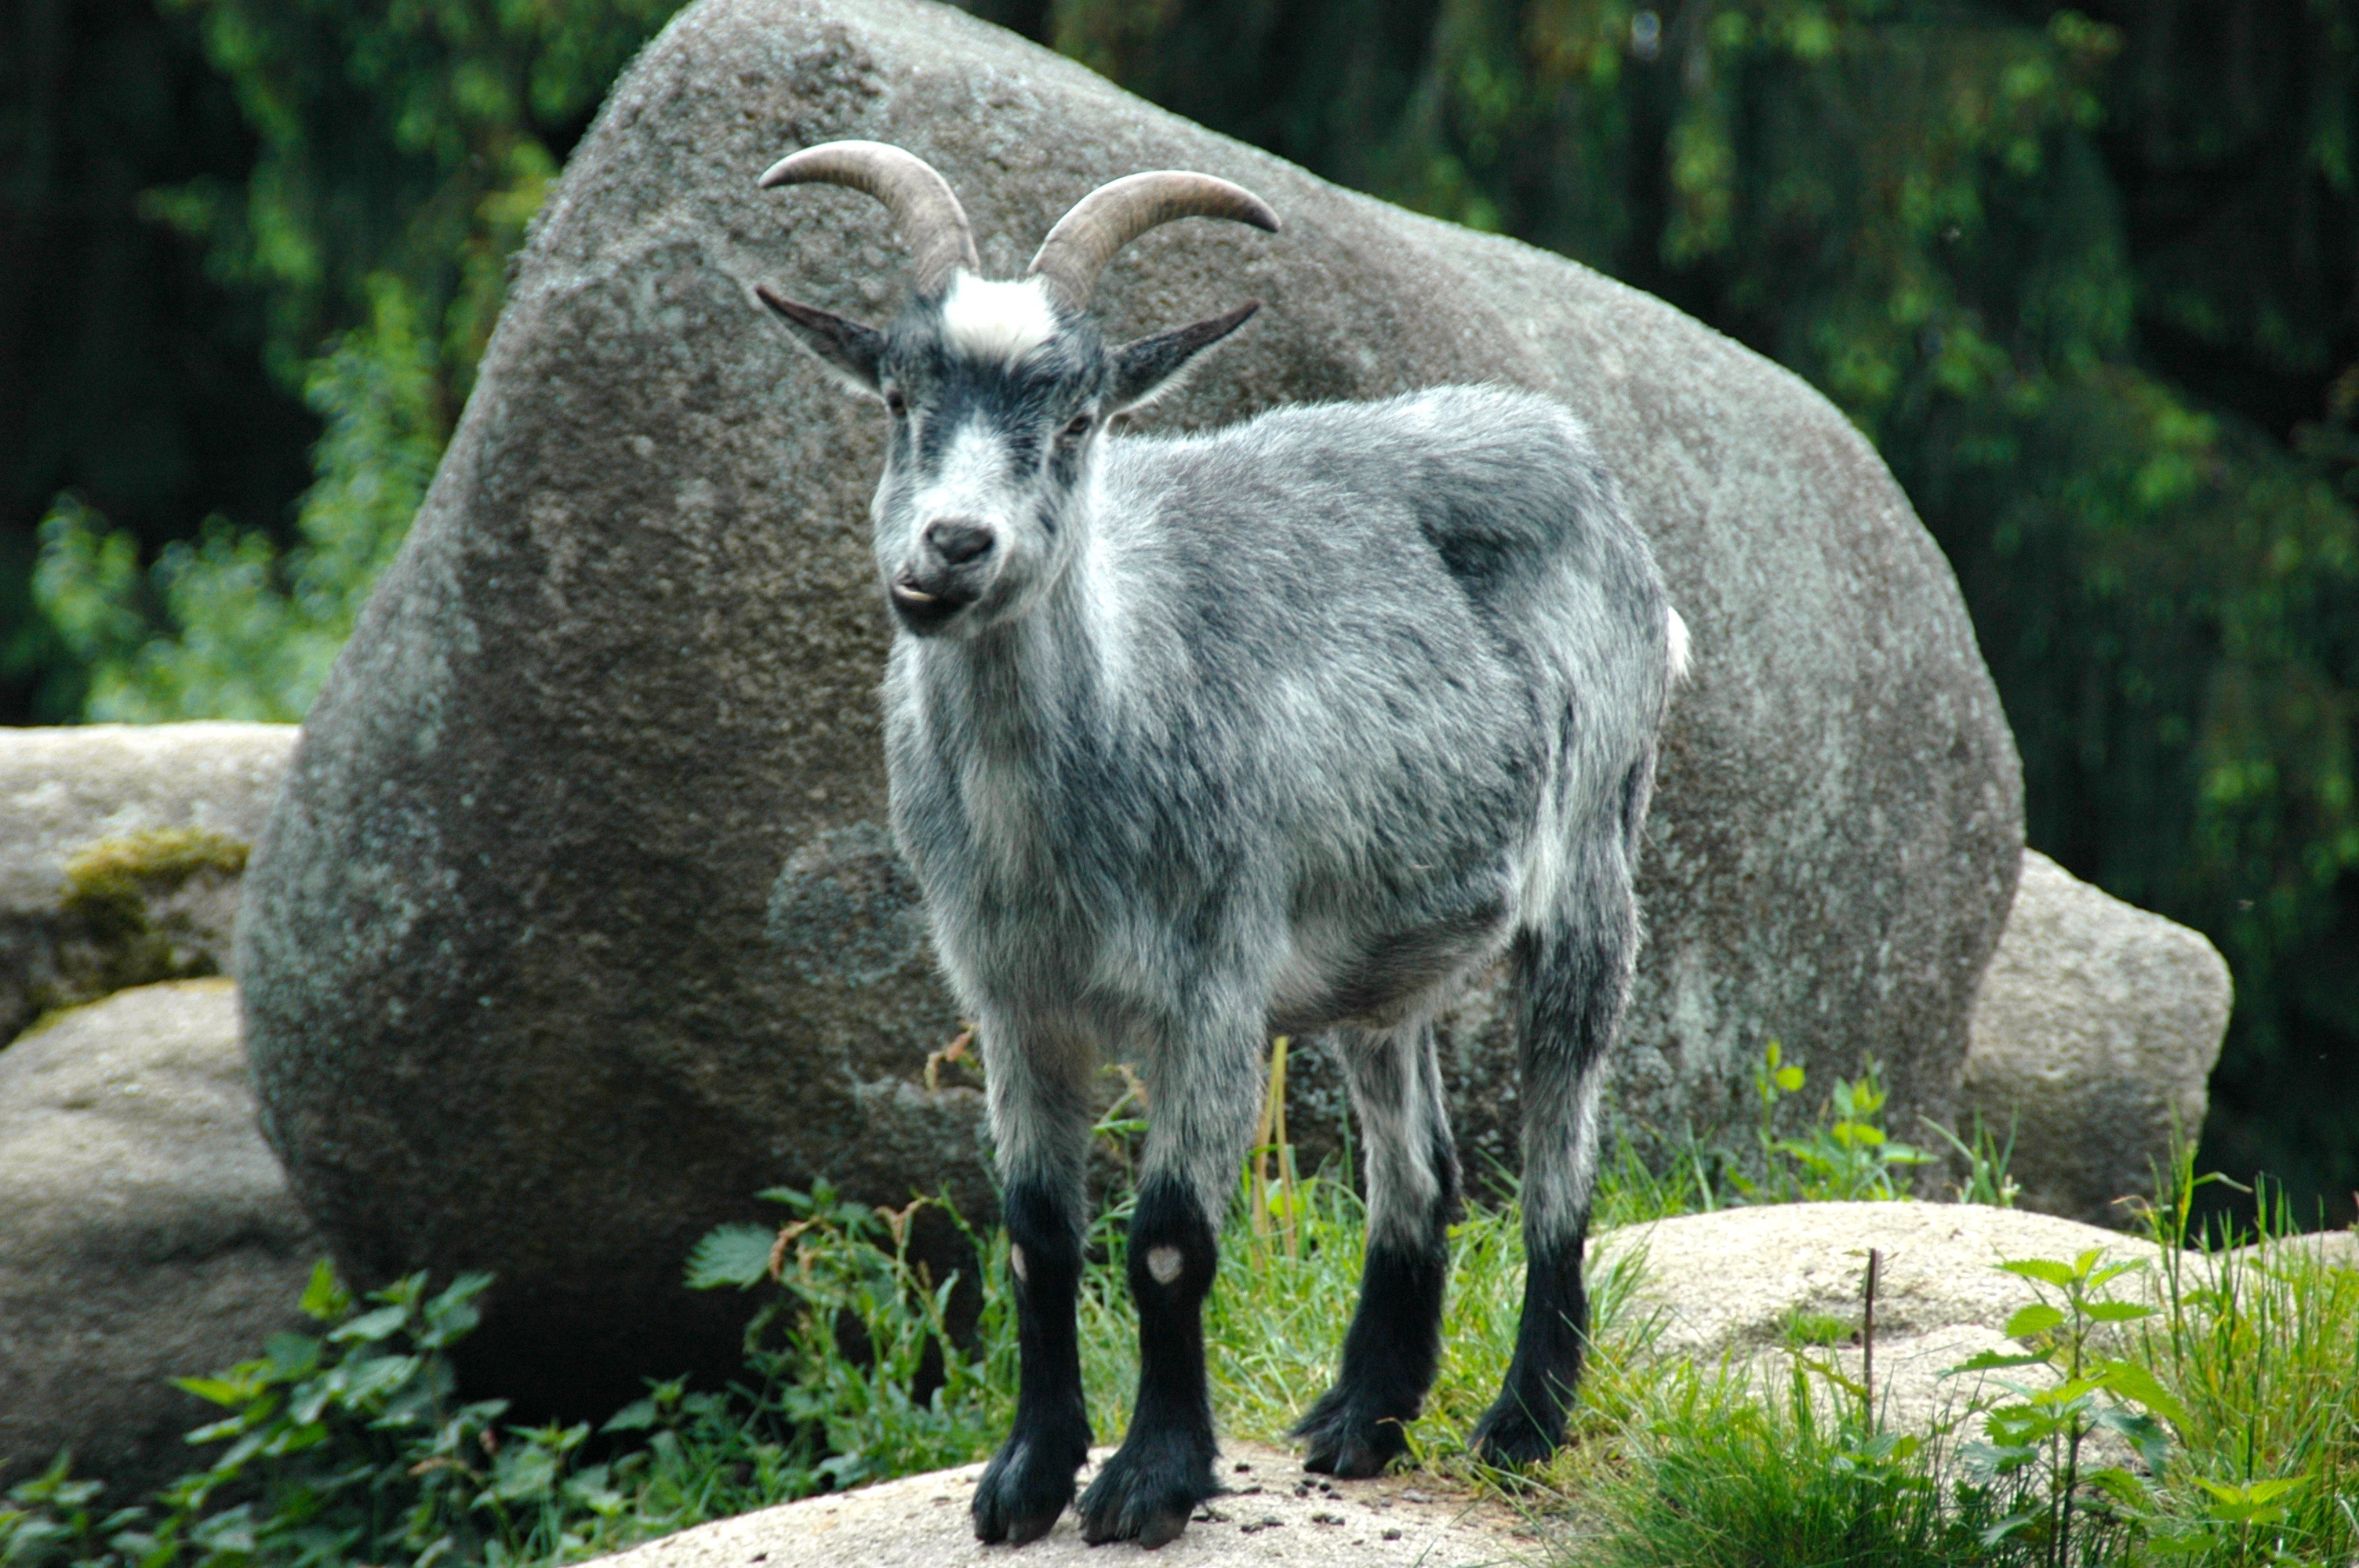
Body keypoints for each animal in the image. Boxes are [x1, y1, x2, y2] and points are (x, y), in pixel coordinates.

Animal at [745, 140, 1688, 1546]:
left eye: (1078, 422)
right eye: (898, 400)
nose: (952, 548)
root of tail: (1573, 454)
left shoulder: (1210, 989)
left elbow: (1167, 1243)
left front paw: (1149, 1481)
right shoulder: (1013, 1002)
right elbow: (1036, 1235)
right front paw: (1023, 1480)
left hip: (1591, 861)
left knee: (1555, 1157)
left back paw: (1521, 1423)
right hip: (1382, 955)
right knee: (1420, 1166)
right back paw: (1362, 1419)